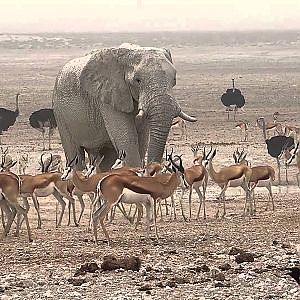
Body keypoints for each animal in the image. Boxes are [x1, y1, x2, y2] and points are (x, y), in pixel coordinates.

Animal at [52, 42, 196, 170]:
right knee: (75, 155)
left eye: (174, 80)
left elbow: (143, 139)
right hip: (60, 114)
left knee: (105, 160)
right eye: (137, 81)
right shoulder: (108, 95)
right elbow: (127, 139)